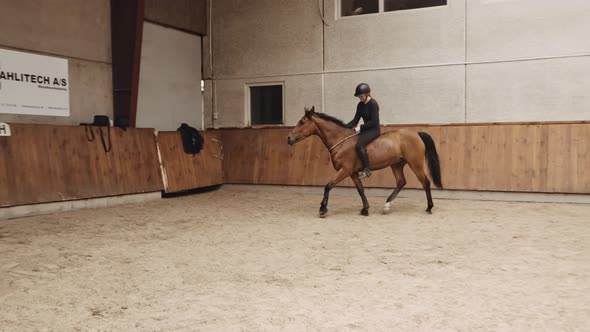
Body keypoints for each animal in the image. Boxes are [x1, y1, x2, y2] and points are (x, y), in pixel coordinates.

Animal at [286, 105, 444, 217]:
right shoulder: (353, 172)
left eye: (302, 122)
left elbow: (328, 185)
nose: (289, 138)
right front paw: (365, 209)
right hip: (396, 164)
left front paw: (323, 209)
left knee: (425, 182)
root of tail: (416, 133)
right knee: (401, 182)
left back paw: (429, 207)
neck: (341, 141)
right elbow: (360, 189)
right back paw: (387, 205)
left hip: (415, 164)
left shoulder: (345, 170)